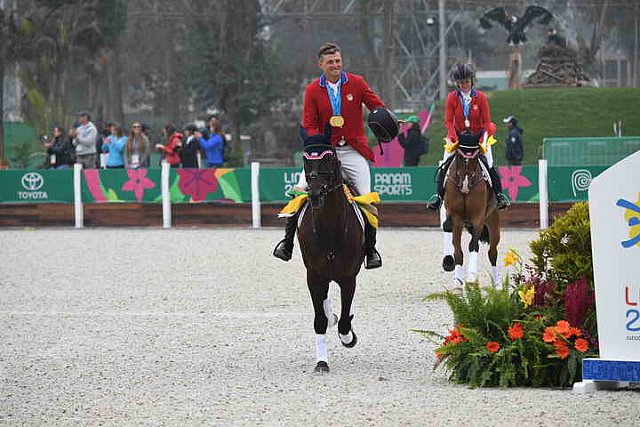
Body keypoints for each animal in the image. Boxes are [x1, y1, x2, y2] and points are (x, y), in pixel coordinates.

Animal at [296, 144, 362, 374]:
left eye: (330, 159)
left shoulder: (349, 278)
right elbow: (319, 321)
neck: (330, 230)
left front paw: (348, 337)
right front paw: (321, 363)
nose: (315, 194)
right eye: (305, 160)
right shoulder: (314, 276)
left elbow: (344, 322)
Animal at [444, 129, 500, 292]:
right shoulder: (456, 219)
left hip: (494, 223)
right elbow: (457, 252)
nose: (465, 185)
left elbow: (473, 245)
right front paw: (457, 284)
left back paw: (498, 285)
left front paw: (471, 278)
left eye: (475, 157)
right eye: (459, 156)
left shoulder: (478, 218)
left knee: (492, 253)